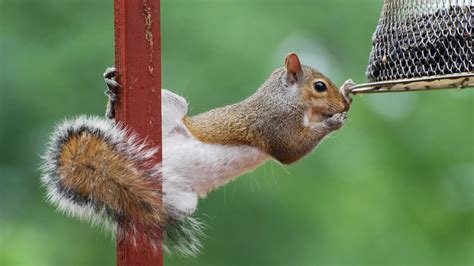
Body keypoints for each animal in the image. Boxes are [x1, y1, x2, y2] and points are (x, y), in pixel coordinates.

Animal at [39, 53, 352, 256]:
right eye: (319, 86)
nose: (343, 106)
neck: (284, 98)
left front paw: (348, 93)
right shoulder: (272, 125)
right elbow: (291, 151)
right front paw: (333, 122)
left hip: (179, 200)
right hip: (171, 107)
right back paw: (113, 98)